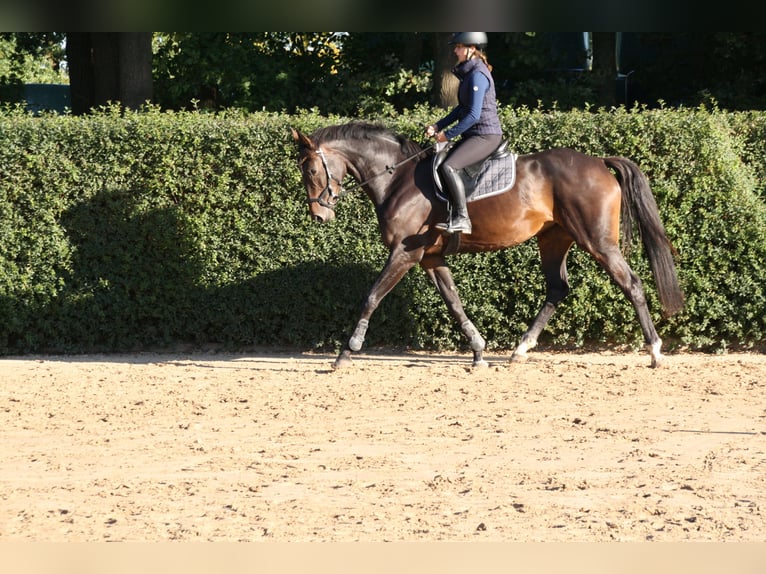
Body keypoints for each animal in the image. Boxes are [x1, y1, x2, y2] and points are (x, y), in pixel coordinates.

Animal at [292, 124, 688, 372]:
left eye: (310, 171)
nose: (319, 215)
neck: (397, 179)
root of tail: (599, 162)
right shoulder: (431, 258)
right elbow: (454, 303)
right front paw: (479, 351)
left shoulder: (405, 254)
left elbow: (372, 296)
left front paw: (347, 350)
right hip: (554, 238)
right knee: (557, 289)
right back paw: (520, 349)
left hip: (598, 242)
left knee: (631, 284)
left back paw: (655, 351)